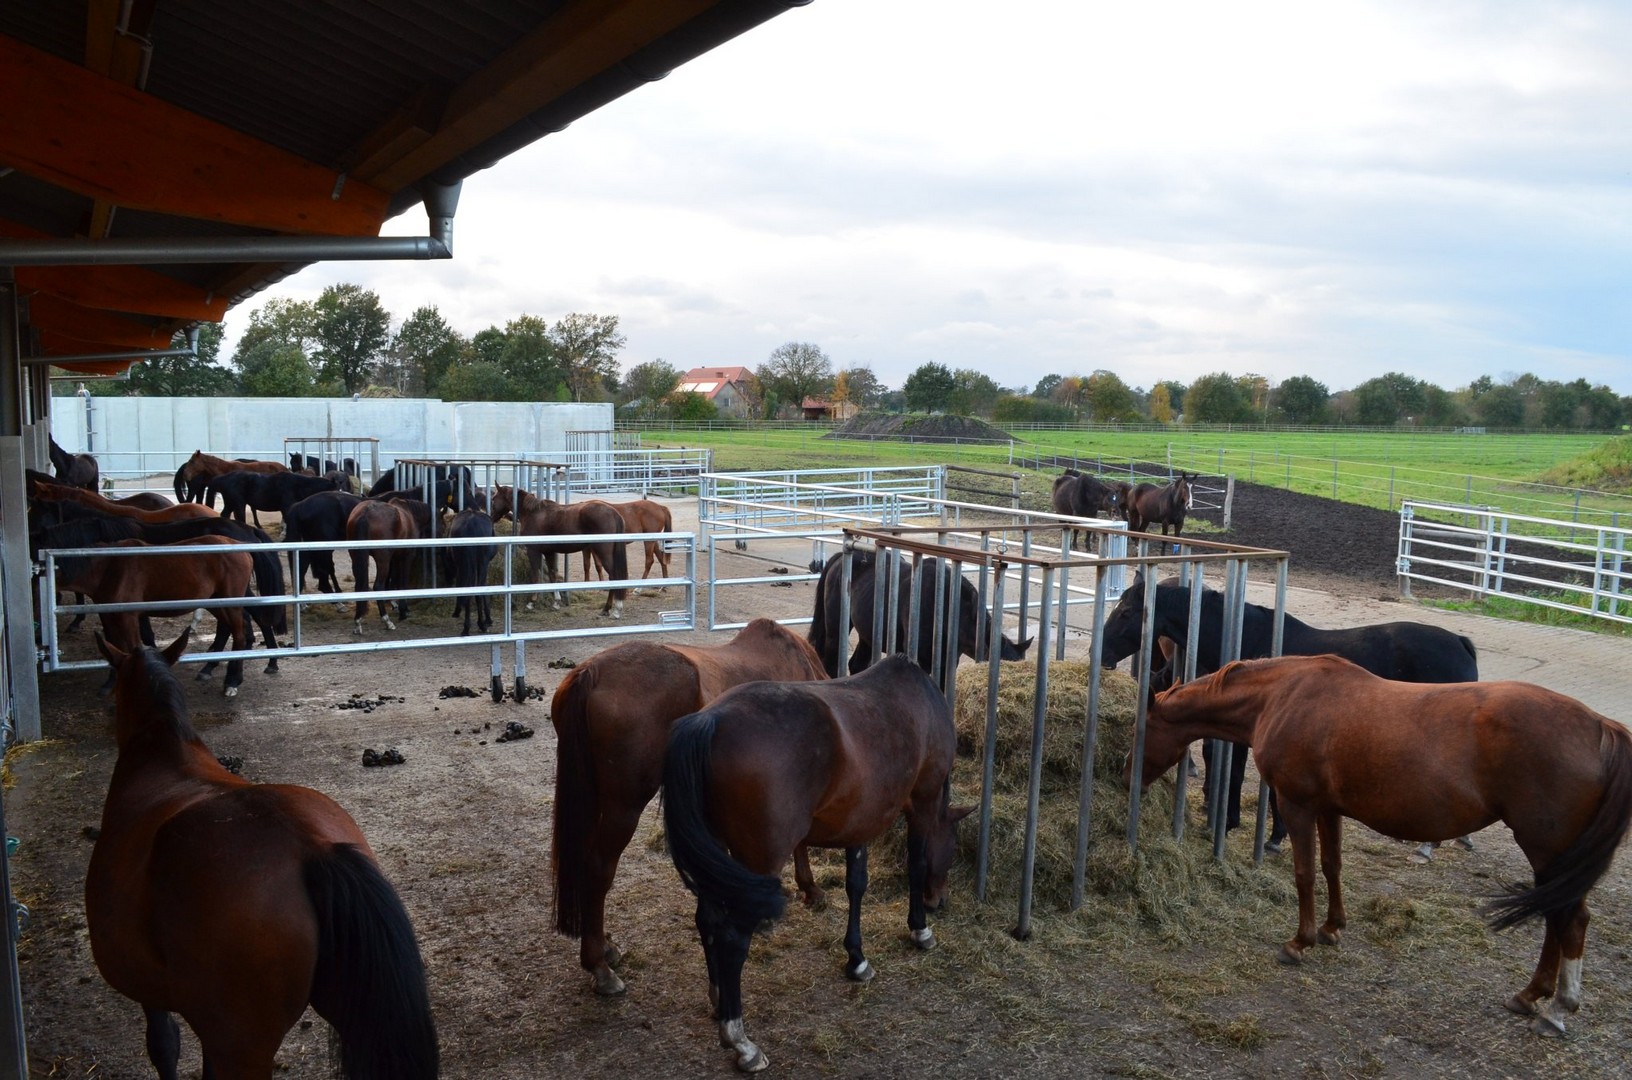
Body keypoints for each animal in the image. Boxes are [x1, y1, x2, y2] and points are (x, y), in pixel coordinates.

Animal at [346, 499, 418, 634]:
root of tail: (365, 513)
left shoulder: (395, 558)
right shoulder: (407, 556)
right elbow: (403, 582)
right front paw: (404, 611)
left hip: (356, 556)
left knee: (359, 585)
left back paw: (358, 621)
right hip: (382, 559)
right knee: (378, 586)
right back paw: (387, 621)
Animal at [550, 618, 829, 997]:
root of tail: (591, 672)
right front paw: (809, 888)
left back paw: (605, 946)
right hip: (624, 807)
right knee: (598, 868)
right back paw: (599, 967)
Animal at [663, 655, 971, 1072]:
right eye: (952, 848)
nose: (940, 901)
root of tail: (709, 721)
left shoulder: (860, 820)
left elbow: (856, 883)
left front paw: (857, 959)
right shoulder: (923, 801)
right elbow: (916, 864)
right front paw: (920, 929)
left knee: (708, 919)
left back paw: (718, 999)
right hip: (758, 861)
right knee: (731, 938)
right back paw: (741, 1041)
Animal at [1099, 573, 1479, 842]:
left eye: (1128, 612)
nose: (1099, 652)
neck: (1244, 637)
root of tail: (1461, 643)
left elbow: (1236, 772)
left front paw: (1235, 824)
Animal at [1130, 654, 1632, 1038]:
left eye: (1142, 729)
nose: (1124, 772)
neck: (1282, 696)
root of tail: (1602, 727)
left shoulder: (1297, 805)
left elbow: (1304, 873)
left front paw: (1299, 941)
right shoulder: (1328, 809)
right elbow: (1332, 866)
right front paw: (1331, 928)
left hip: (1546, 850)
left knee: (1568, 920)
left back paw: (1555, 1007)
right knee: (1558, 918)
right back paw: (1532, 996)